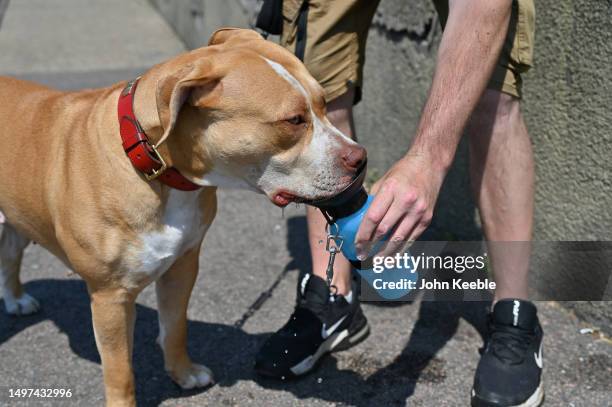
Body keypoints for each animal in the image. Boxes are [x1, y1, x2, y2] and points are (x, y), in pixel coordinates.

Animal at [0, 28, 364, 407]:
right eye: (293, 120)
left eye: (324, 103)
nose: (361, 158)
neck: (155, 167)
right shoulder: (110, 296)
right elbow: (120, 372)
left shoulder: (182, 266)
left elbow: (176, 328)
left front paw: (183, 374)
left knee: (10, 254)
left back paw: (15, 299)